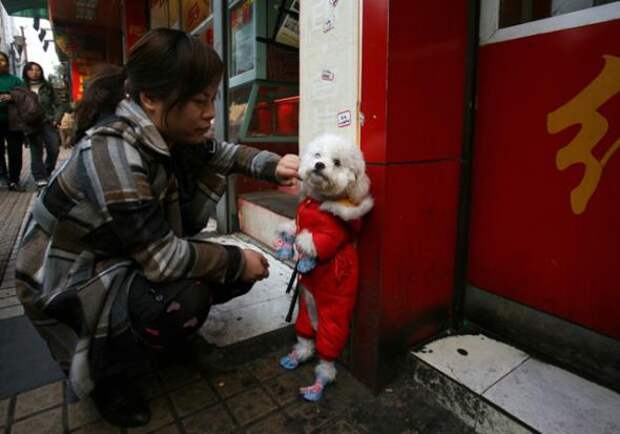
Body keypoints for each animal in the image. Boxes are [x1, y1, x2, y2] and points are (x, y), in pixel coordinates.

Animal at [280, 132, 376, 400]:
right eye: (317, 154)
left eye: (337, 162)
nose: (320, 165)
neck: (315, 202)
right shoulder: (300, 218)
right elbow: (293, 228)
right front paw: (286, 242)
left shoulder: (331, 233)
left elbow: (315, 242)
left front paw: (305, 256)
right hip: (306, 303)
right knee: (305, 334)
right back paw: (298, 354)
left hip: (335, 310)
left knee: (327, 349)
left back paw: (320, 382)